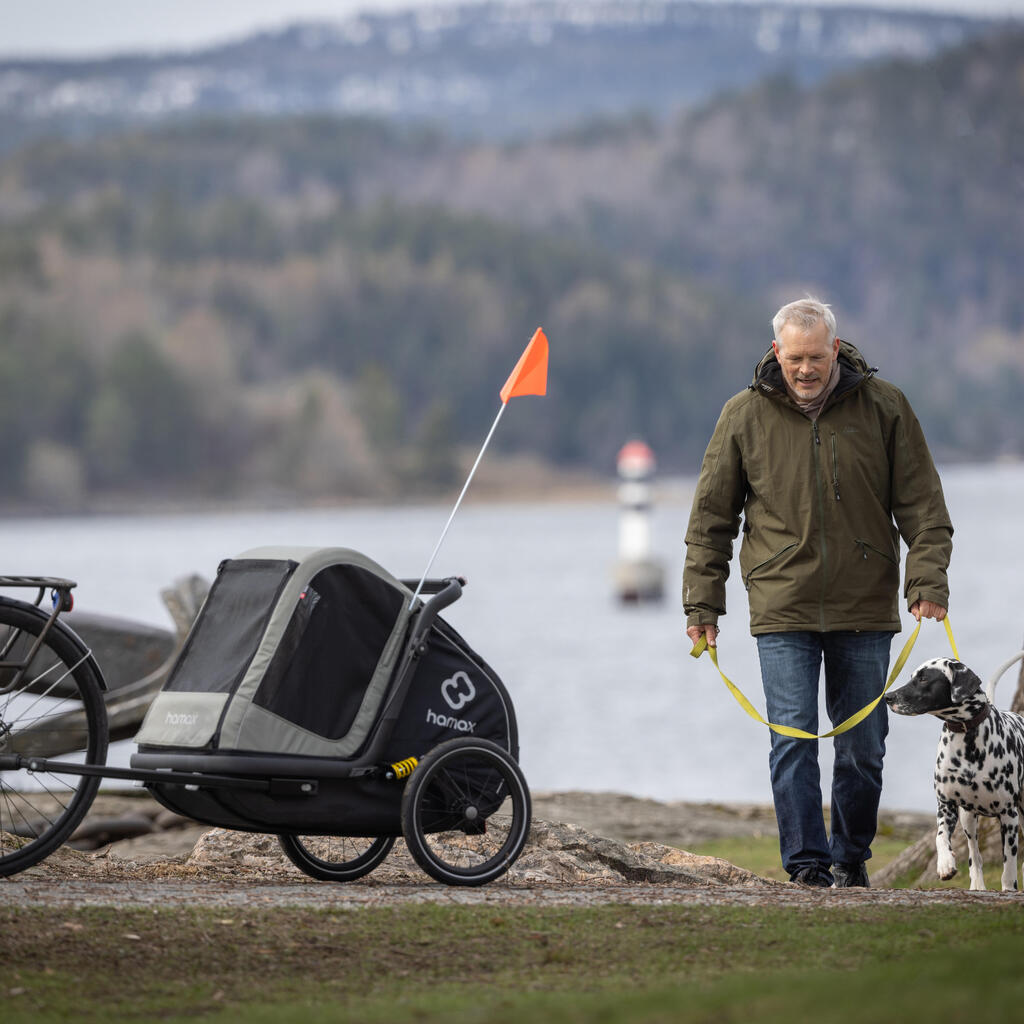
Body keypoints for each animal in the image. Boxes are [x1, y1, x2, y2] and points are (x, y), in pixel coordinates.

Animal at [884, 663, 1024, 888]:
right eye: (912, 676)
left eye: (923, 678)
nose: (888, 697)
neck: (967, 740)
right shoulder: (946, 806)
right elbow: (940, 837)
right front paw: (945, 864)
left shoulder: (1008, 815)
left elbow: (1009, 868)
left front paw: (1008, 888)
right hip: (968, 819)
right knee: (975, 855)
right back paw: (977, 885)